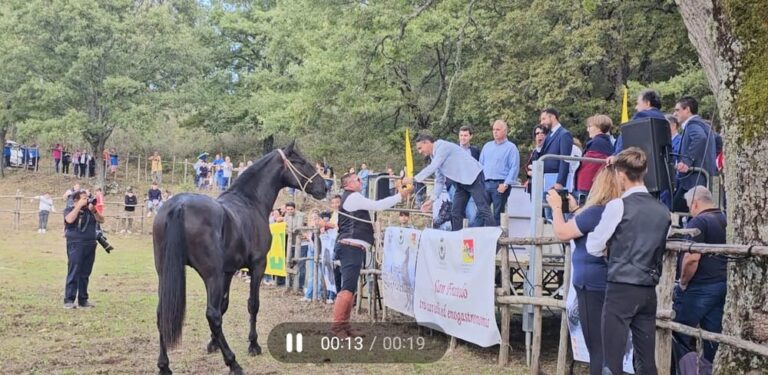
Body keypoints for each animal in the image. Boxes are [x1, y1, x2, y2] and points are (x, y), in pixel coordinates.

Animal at [154, 142, 326, 374]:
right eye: (301, 162)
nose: (324, 187)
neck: (249, 202)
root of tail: (178, 206)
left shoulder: (228, 271)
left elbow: (224, 304)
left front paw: (212, 344)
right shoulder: (257, 265)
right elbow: (252, 304)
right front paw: (253, 345)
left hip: (165, 273)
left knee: (163, 313)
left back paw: (164, 365)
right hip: (211, 275)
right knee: (212, 315)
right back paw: (233, 362)